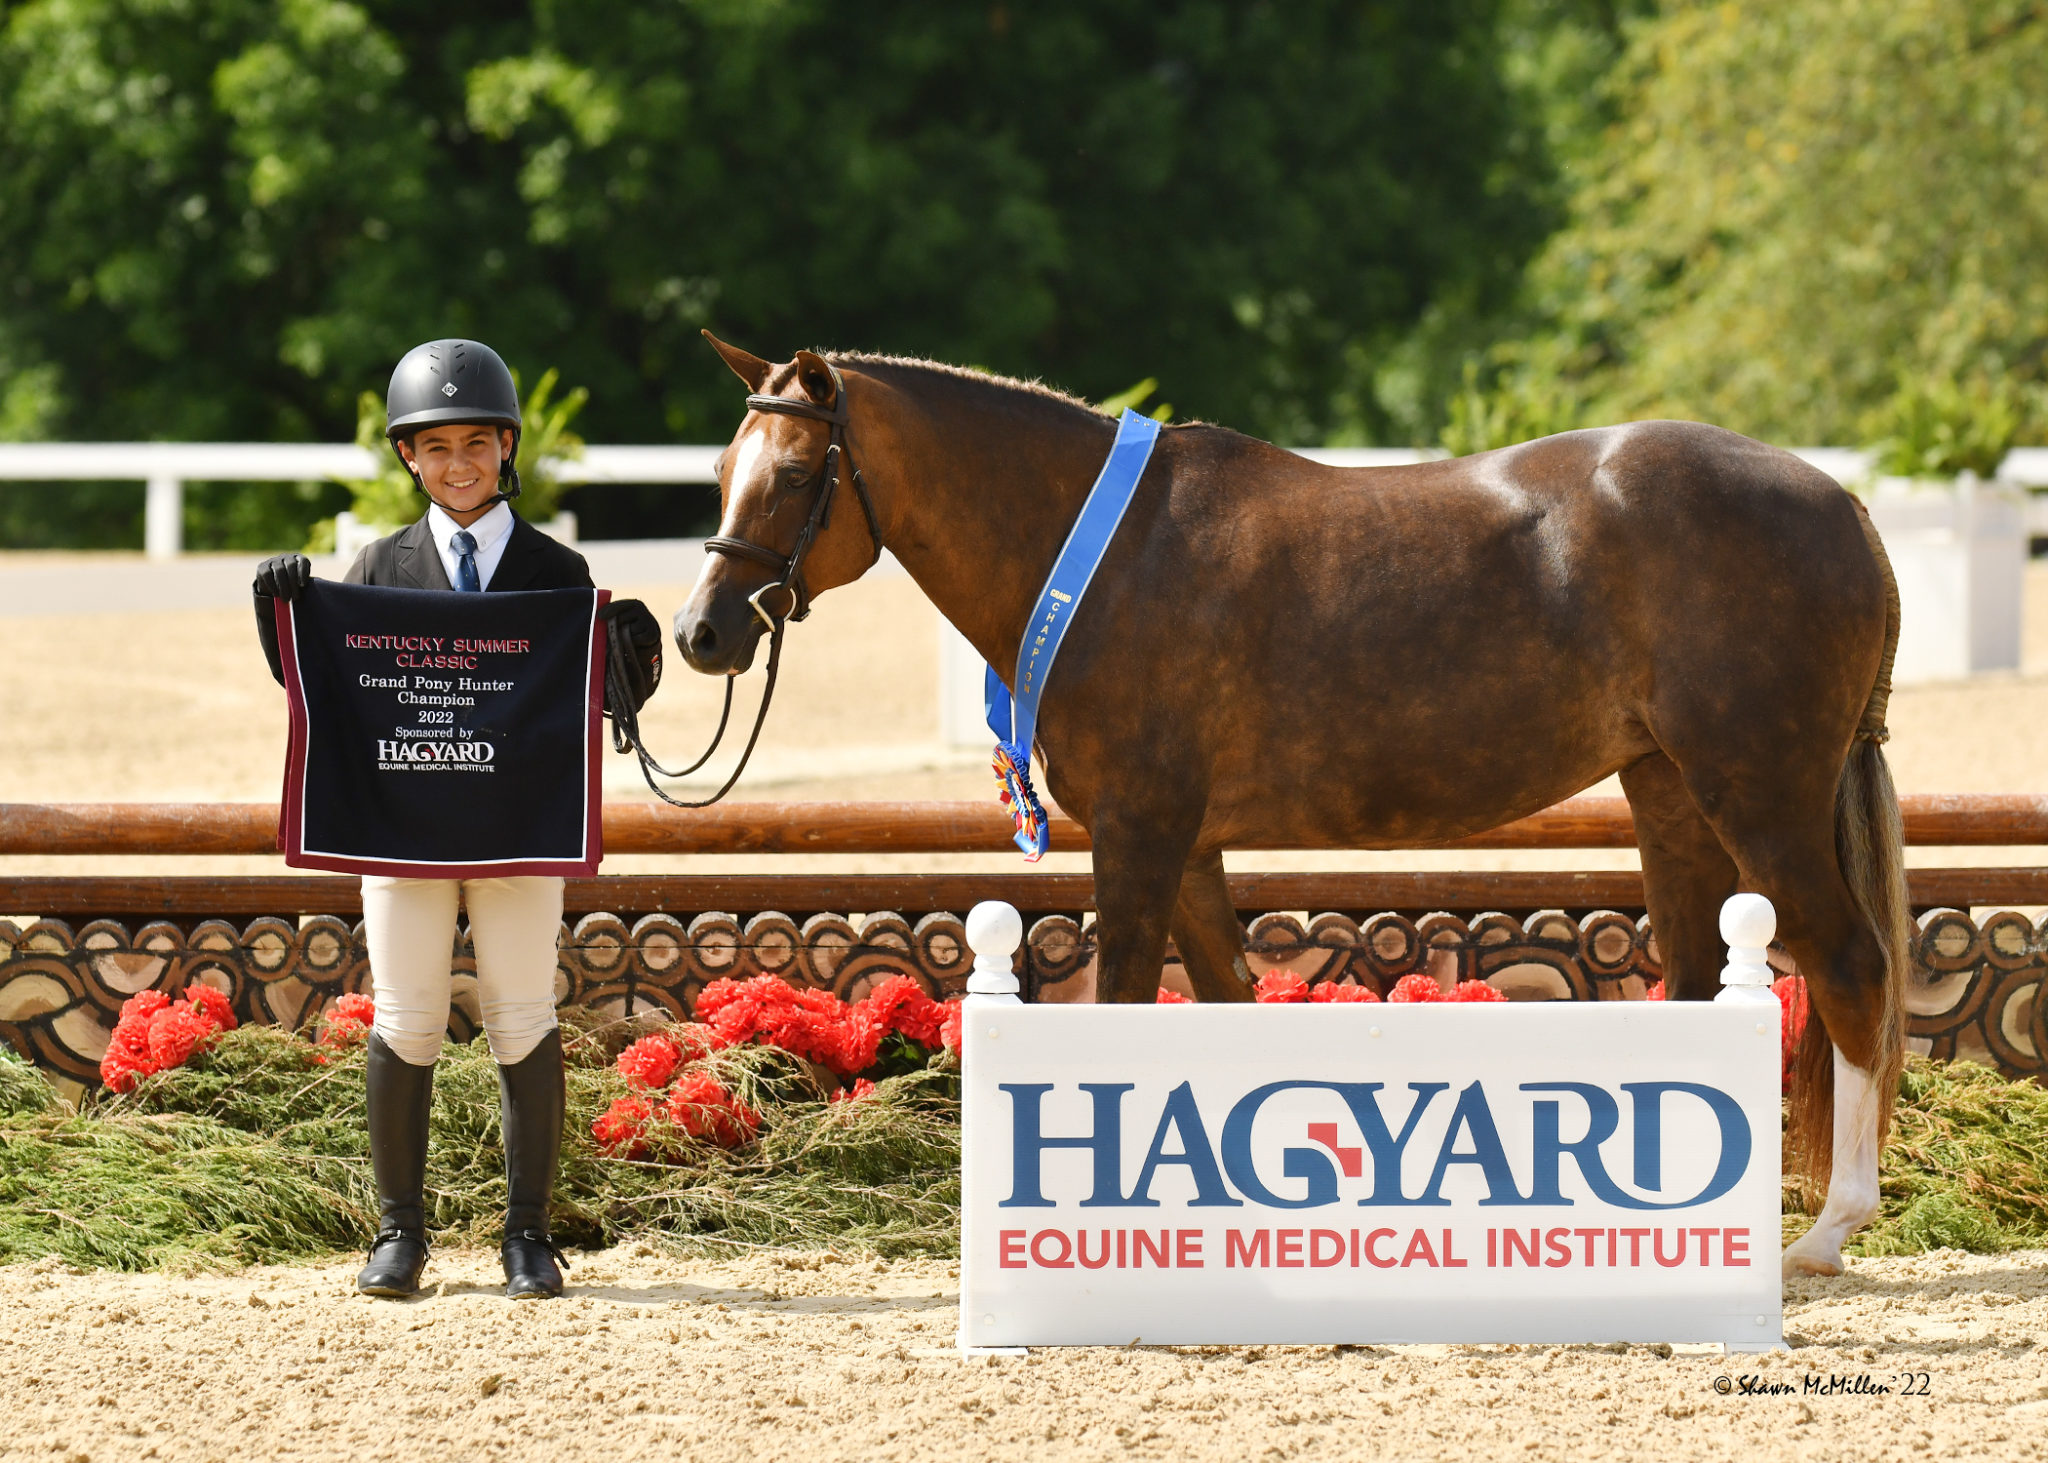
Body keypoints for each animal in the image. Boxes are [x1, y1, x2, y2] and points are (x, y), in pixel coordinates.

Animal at [674, 334, 1907, 1280]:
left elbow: (1123, 1002)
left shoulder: (1138, 834)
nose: (701, 631)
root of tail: (1841, 504)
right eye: (723, 468)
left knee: (1850, 964)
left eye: (797, 472)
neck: (1102, 557)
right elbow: (1225, 1003)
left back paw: (1825, 1232)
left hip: (1758, 791)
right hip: (1667, 789)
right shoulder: (1189, 848)